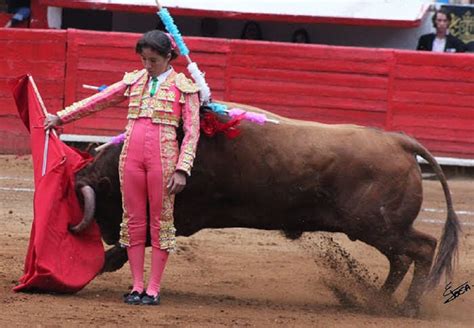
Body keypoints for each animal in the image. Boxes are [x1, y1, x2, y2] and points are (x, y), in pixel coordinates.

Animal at [73, 102, 460, 316]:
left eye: (98, 202)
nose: (101, 232)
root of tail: (398, 140)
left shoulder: (180, 217)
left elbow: (140, 239)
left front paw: (102, 263)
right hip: (379, 229)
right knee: (403, 259)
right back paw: (378, 300)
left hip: (376, 225)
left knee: (422, 248)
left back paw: (407, 307)